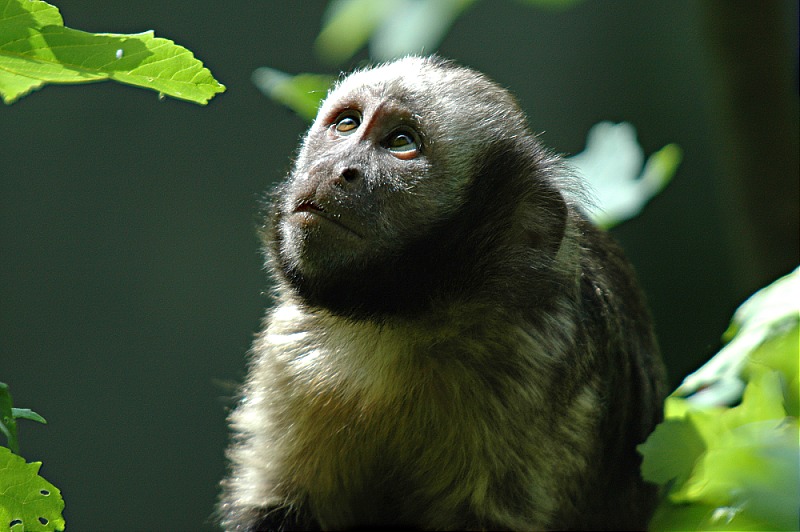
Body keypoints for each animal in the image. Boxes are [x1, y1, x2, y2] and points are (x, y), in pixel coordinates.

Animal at [217, 56, 664, 528]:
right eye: (347, 124)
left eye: (401, 142)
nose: (341, 168)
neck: (397, 319)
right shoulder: (293, 351)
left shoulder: (536, 360)